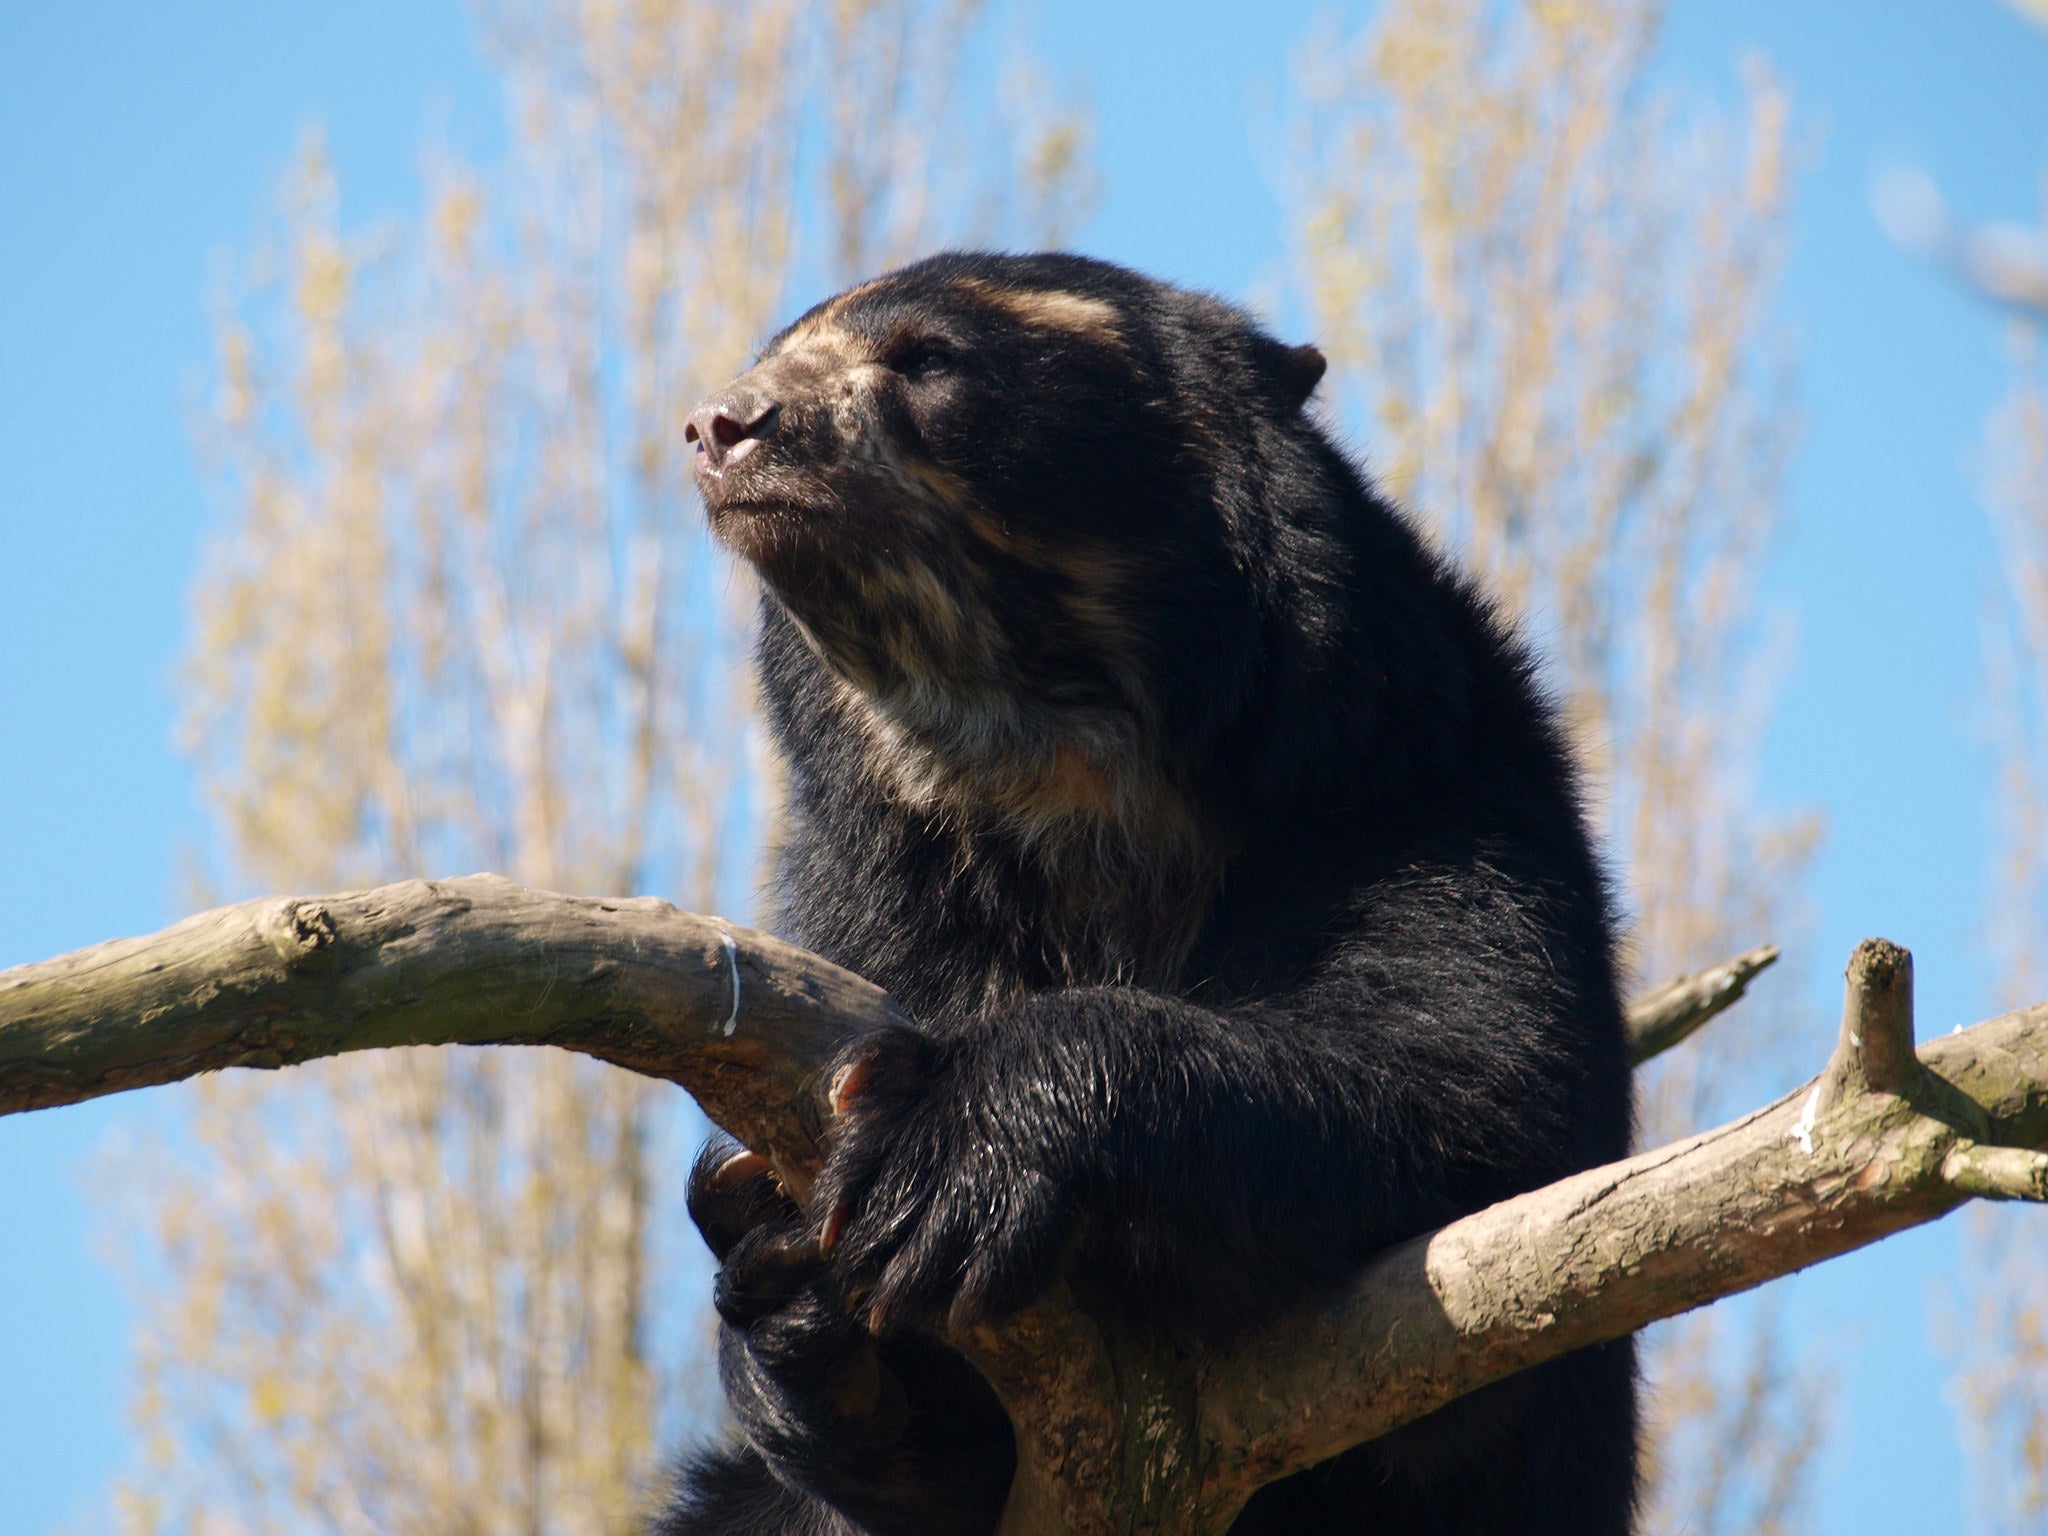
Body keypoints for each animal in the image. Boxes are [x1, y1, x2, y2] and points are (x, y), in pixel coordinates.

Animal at [654, 252, 1637, 1535]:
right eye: (766, 356)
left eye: (928, 359)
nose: (722, 424)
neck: (1054, 768)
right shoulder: (863, 904)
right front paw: (786, 1269)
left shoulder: (1416, 792)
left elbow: (1476, 1087)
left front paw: (944, 1142)